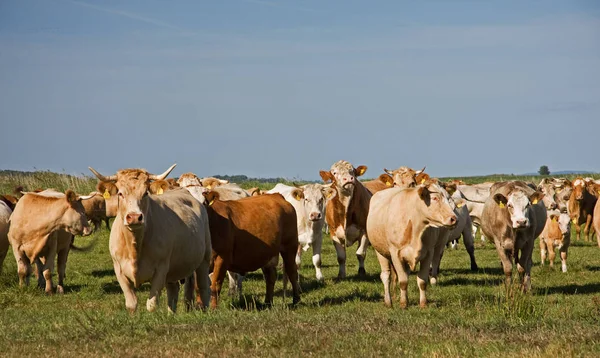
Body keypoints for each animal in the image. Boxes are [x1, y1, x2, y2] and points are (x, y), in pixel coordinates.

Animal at [88, 165, 212, 314]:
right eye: (120, 194)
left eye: (145, 193)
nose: (134, 217)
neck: (135, 246)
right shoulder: (119, 270)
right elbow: (131, 304)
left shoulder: (161, 269)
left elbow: (151, 305)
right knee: (173, 289)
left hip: (204, 257)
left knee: (203, 286)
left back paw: (205, 311)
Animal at [366, 180, 460, 310]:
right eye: (435, 198)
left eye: (448, 198)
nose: (454, 219)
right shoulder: (395, 253)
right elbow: (403, 281)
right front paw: (403, 304)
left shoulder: (428, 253)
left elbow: (422, 281)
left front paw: (423, 303)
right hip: (380, 252)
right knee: (386, 276)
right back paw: (388, 301)